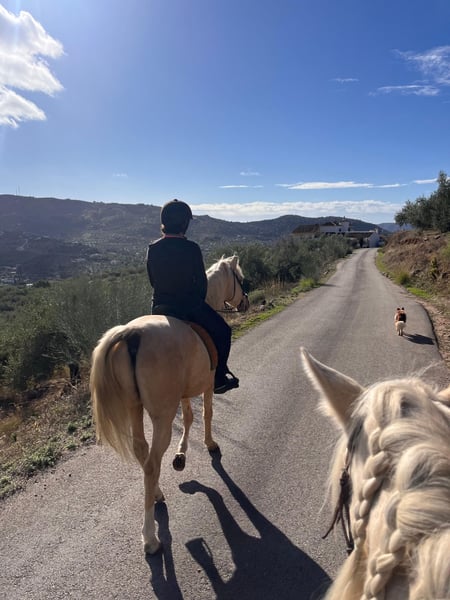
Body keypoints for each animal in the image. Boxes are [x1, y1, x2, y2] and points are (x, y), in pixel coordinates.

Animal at [90, 255, 249, 554]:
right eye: (239, 278)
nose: (244, 302)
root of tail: (131, 334)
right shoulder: (207, 385)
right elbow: (206, 414)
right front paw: (210, 444)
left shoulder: (184, 393)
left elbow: (188, 418)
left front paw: (181, 455)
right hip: (162, 415)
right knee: (152, 462)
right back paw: (150, 538)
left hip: (135, 408)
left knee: (142, 452)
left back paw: (156, 494)